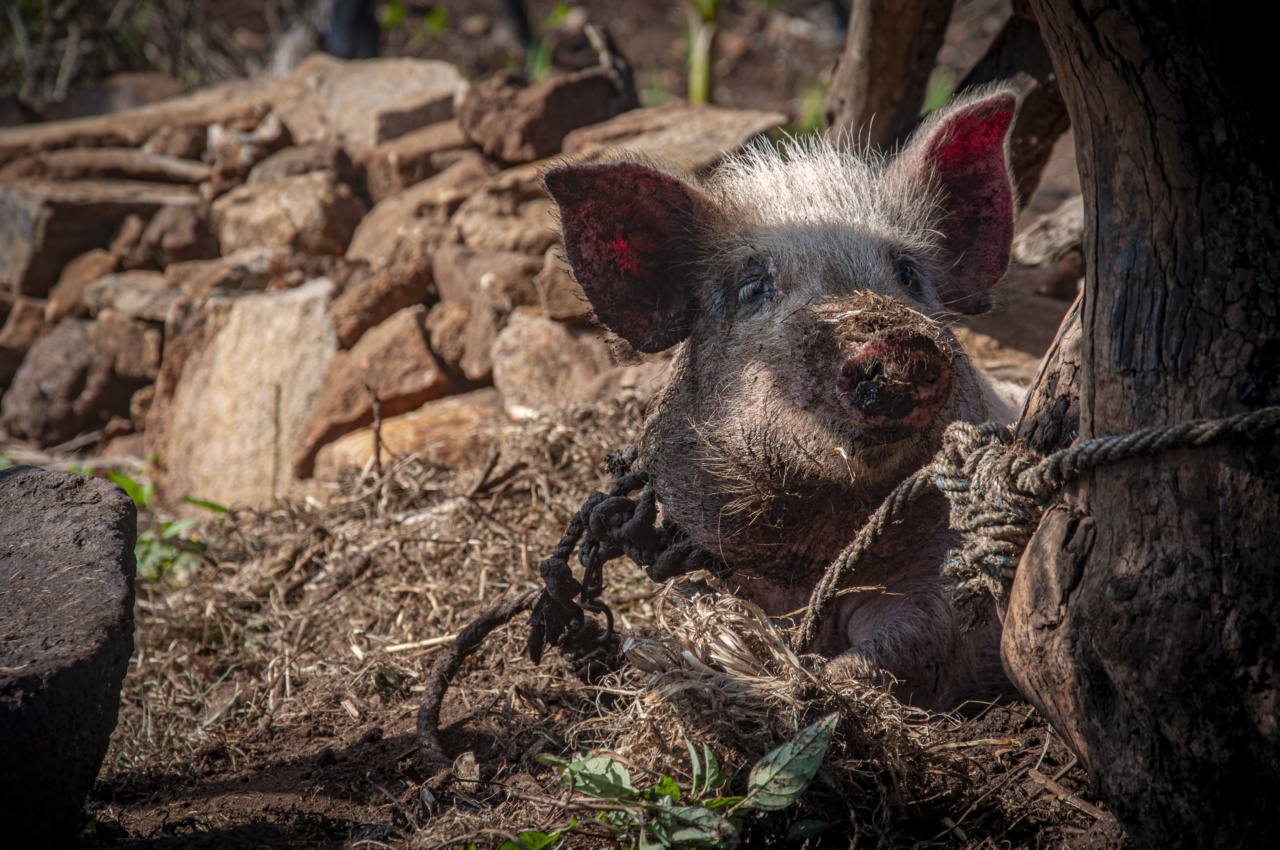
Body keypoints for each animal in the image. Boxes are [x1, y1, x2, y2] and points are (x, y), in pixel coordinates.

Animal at [545, 87, 1024, 711]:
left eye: (908, 274)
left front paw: (822, 683)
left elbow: (912, 637)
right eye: (754, 288)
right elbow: (698, 608)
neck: (815, 549)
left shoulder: (943, 580)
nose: (895, 338)